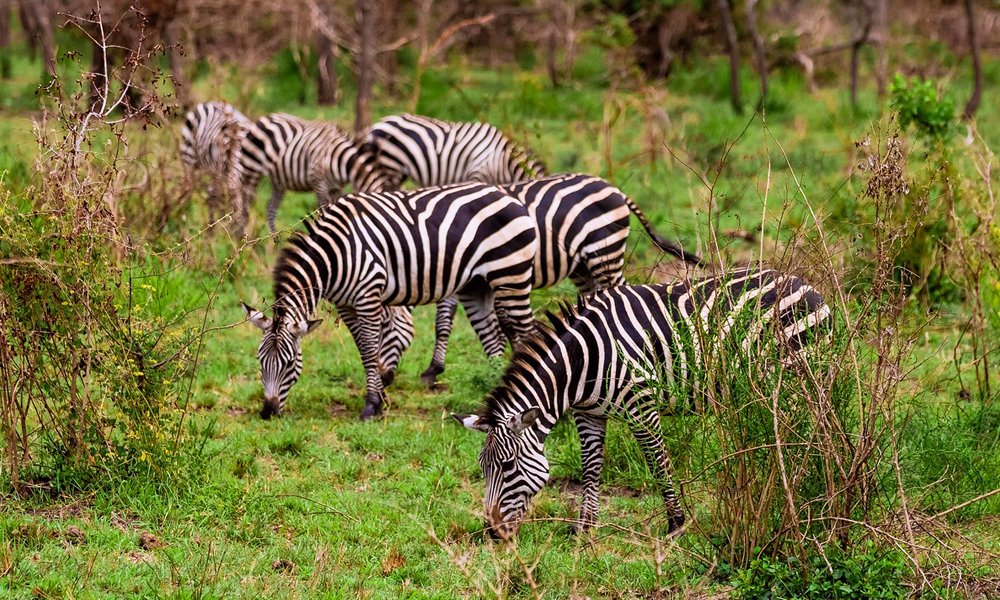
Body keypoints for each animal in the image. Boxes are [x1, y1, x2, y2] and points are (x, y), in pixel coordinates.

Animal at [239, 113, 391, 233]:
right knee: (244, 206)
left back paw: (275, 240)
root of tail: (263, 118)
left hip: (278, 179)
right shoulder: (319, 184)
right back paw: (243, 240)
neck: (338, 160)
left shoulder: (336, 188)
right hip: (251, 170)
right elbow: (324, 212)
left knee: (270, 206)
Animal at [242, 182, 538, 421]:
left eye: (290, 363)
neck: (335, 255)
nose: (267, 413)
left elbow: (371, 349)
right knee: (493, 339)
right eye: (259, 361)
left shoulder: (368, 296)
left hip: (511, 276)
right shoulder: (346, 305)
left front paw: (372, 404)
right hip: (476, 285)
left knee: (526, 334)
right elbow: (365, 351)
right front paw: (380, 399)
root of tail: (507, 196)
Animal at [374, 173, 703, 388]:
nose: (386, 378)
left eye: (385, 328)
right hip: (582, 267)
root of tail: (612, 188)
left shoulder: (458, 271)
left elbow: (445, 319)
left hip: (605, 254)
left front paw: (433, 369)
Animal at [454, 267, 832, 538]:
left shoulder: (641, 407)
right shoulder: (588, 414)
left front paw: (676, 523)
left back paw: (803, 494)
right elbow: (591, 467)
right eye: (483, 468)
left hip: (794, 375)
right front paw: (584, 528)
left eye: (507, 467)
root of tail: (807, 285)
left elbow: (658, 463)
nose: (492, 533)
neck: (581, 361)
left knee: (809, 436)